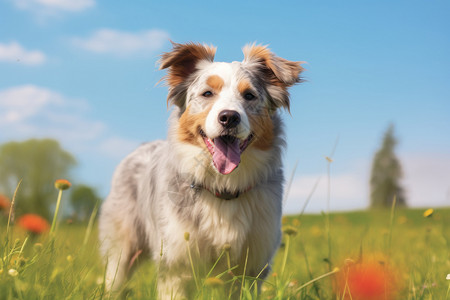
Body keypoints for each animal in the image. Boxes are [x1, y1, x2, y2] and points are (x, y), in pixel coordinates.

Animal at [98, 41, 302, 298]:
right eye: (207, 93)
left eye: (249, 95)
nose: (229, 117)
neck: (224, 188)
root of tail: (141, 146)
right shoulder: (175, 265)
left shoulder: (251, 268)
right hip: (123, 247)